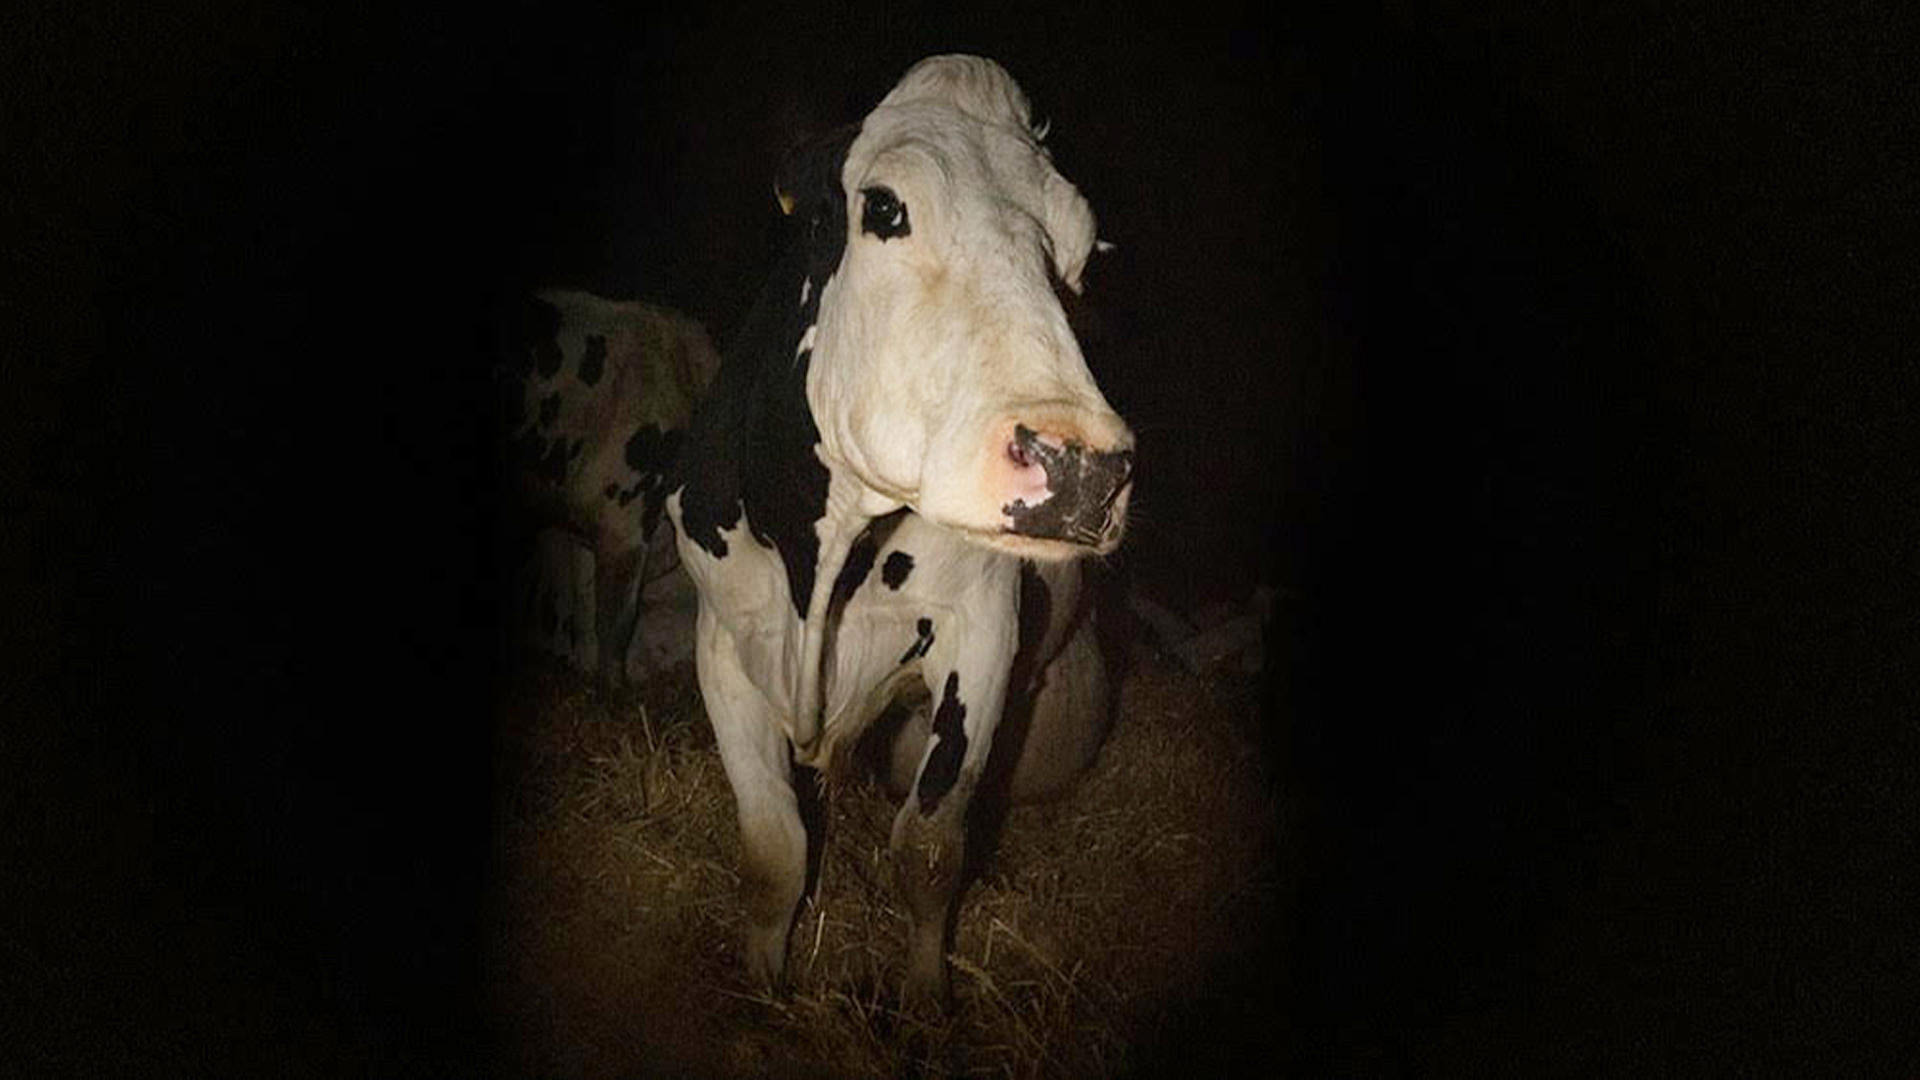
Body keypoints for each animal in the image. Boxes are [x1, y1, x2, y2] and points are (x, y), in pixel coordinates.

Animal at [497, 289, 720, 695]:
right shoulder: (625, 512)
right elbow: (615, 618)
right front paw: (615, 690)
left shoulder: (584, 523)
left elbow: (585, 605)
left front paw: (588, 676)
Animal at [665, 55, 1134, 1007]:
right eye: (884, 207)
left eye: (1078, 252)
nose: (1083, 468)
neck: (821, 564)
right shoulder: (721, 639)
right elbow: (774, 849)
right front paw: (764, 988)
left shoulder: (981, 632)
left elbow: (927, 847)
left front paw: (923, 1003)